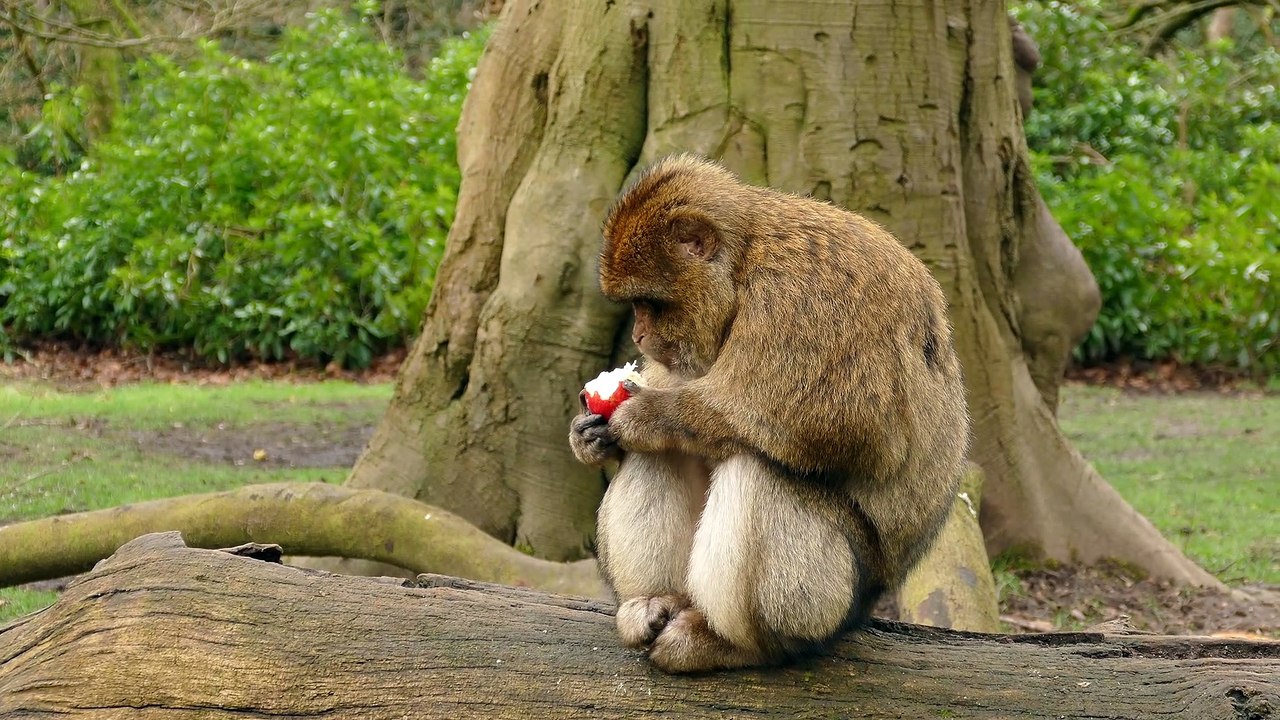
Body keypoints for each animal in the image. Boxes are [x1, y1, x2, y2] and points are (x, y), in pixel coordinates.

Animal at [568, 155, 970, 674]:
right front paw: (588, 436)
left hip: (836, 599)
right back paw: (654, 603)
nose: (638, 335)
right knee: (662, 456)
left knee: (757, 470)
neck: (744, 264)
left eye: (650, 304)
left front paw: (648, 416)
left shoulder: (801, 294)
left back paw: (736, 644)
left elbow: (847, 425)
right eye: (636, 306)